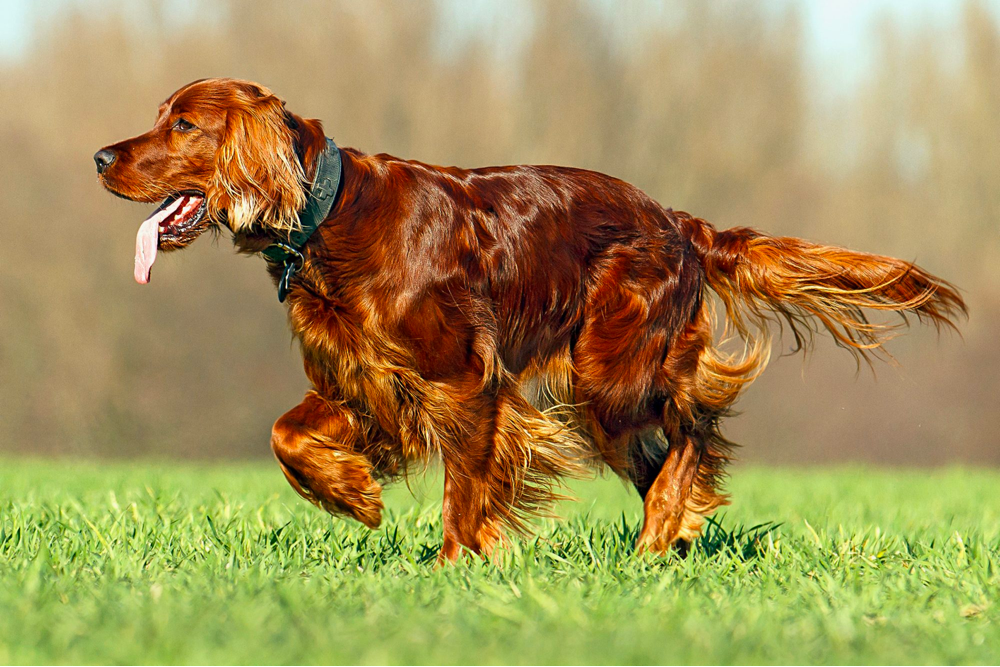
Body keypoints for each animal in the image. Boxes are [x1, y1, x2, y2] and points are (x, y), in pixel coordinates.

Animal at [97, 77, 964, 560]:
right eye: (161, 116)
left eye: (183, 124)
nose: (101, 157)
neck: (331, 214)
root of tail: (679, 222)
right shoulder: (361, 382)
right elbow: (285, 434)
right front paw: (354, 495)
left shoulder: (465, 382)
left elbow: (464, 487)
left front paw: (454, 564)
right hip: (603, 392)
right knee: (667, 452)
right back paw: (672, 532)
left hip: (608, 372)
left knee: (695, 425)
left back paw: (659, 534)